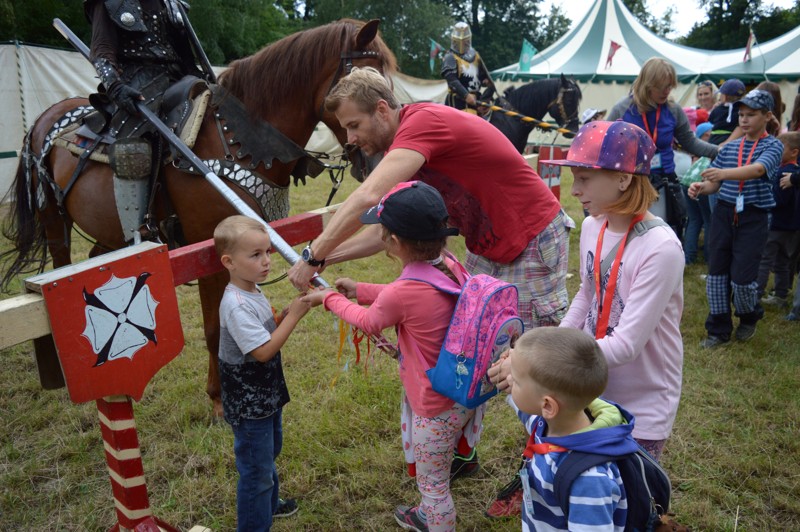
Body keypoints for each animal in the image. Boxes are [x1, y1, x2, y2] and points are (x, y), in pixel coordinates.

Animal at [0, 17, 396, 416]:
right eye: (363, 78)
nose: (380, 159)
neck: (240, 141)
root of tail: (45, 117)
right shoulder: (211, 250)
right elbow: (215, 328)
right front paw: (219, 398)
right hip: (55, 219)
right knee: (62, 261)